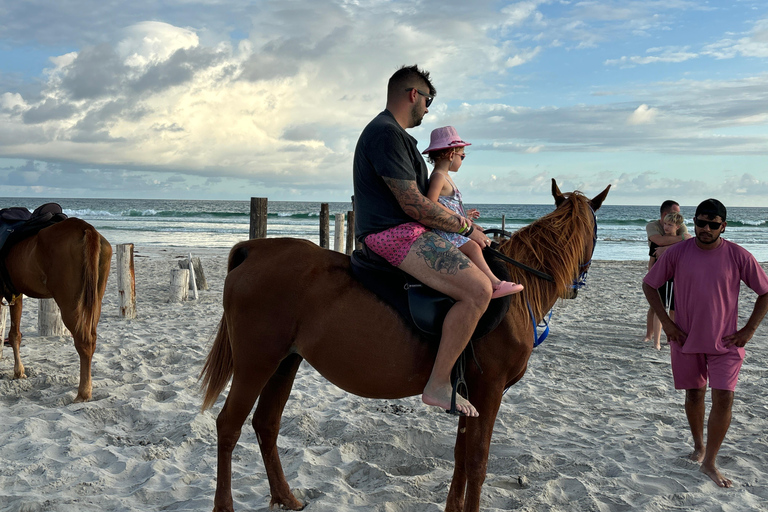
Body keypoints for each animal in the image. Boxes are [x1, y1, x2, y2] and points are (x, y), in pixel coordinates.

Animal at [1, 218, 112, 402]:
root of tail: (86, 228)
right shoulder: (16, 295)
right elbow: (14, 334)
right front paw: (18, 372)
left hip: (70, 305)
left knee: (84, 342)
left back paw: (83, 393)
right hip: (95, 301)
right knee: (92, 338)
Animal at [201, 178, 608, 510]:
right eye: (596, 231)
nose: (576, 286)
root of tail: (256, 249)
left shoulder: (469, 394)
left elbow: (461, 458)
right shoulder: (489, 390)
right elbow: (477, 463)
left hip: (285, 362)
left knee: (266, 424)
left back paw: (286, 497)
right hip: (256, 363)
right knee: (229, 426)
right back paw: (225, 505)